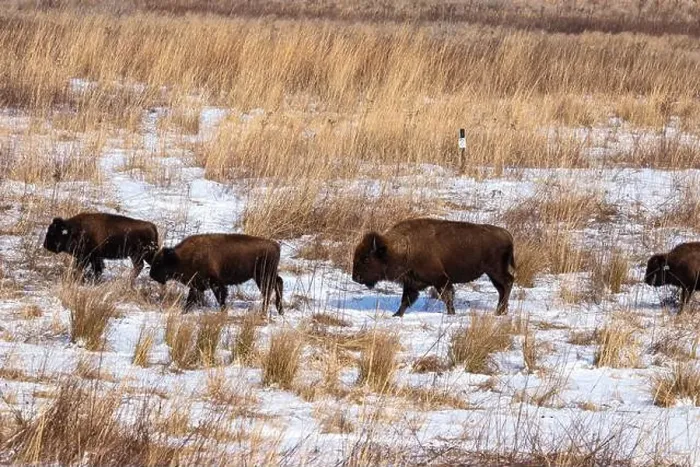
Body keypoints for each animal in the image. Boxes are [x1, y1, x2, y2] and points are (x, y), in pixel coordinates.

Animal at [149, 233, 284, 314]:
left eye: (159, 262)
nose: (151, 274)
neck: (180, 258)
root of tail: (275, 245)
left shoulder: (215, 283)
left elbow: (220, 297)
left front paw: (224, 311)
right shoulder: (196, 286)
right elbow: (190, 299)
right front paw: (184, 312)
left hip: (263, 276)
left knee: (268, 291)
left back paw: (265, 311)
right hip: (265, 276)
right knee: (278, 283)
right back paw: (279, 310)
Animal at [352, 218, 515, 317]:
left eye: (366, 258)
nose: (355, 277)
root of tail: (507, 234)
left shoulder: (441, 279)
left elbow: (447, 296)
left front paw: (451, 313)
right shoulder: (411, 283)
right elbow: (405, 300)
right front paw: (396, 315)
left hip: (495, 270)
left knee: (507, 283)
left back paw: (500, 311)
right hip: (492, 274)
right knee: (502, 288)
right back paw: (501, 311)